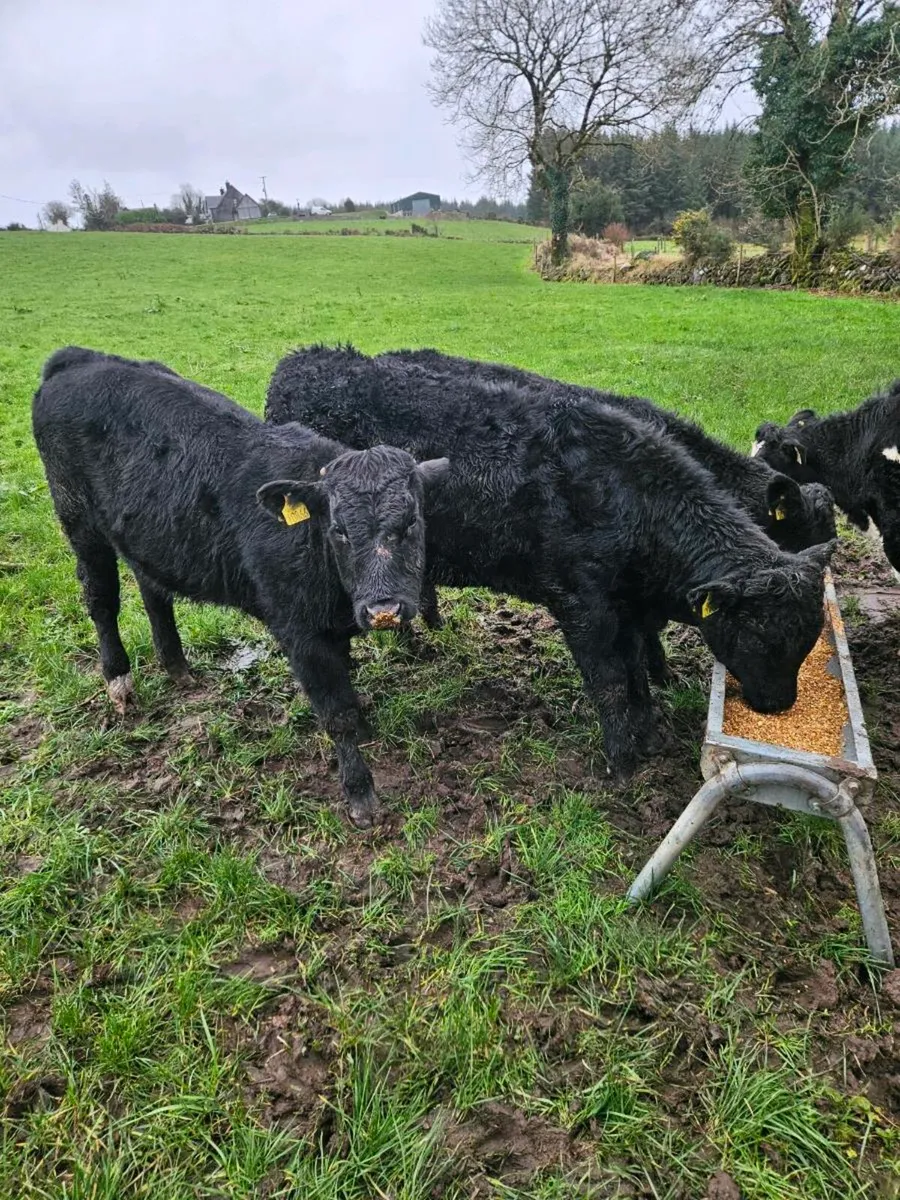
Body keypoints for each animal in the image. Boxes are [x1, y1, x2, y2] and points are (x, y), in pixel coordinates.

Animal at [32, 347, 448, 827]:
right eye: (339, 530)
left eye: (412, 521)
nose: (384, 610)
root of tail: (78, 359)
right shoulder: (298, 632)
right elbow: (335, 712)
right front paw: (361, 795)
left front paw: (365, 729)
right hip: (79, 521)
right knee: (101, 600)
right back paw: (119, 682)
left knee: (153, 592)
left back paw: (176, 665)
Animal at [266, 345, 835, 782]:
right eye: (758, 636)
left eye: (808, 637)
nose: (779, 707)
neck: (628, 497)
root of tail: (309, 357)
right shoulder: (581, 604)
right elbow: (609, 680)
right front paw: (622, 762)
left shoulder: (628, 607)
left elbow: (634, 670)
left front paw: (650, 726)